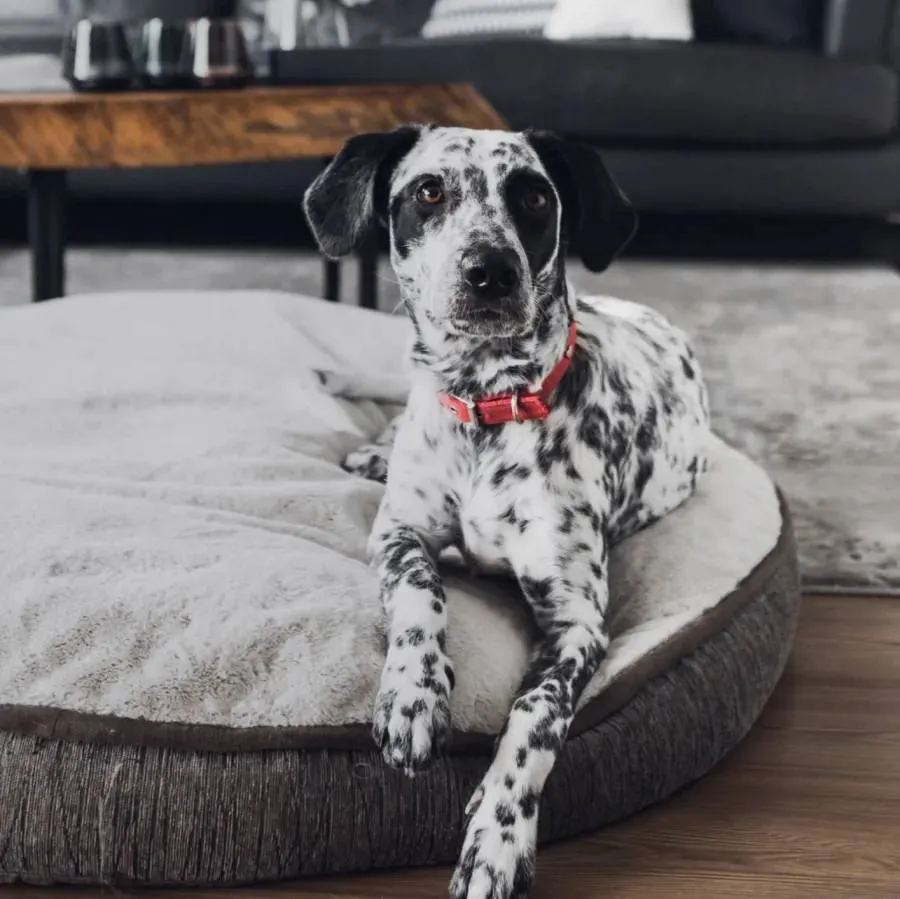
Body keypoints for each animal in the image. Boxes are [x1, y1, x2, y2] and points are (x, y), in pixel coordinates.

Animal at [302, 126, 712, 899]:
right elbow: (419, 591)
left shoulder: (578, 623)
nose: (488, 269)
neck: (486, 404)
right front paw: (413, 694)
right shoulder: (397, 533)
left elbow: (534, 717)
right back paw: (371, 451)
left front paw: (497, 835)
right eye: (429, 190)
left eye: (534, 197)